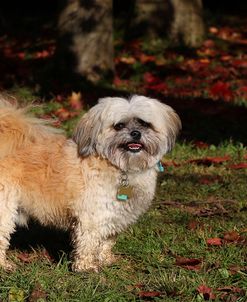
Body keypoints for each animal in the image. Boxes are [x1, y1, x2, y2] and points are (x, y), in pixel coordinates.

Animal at [0, 94, 181, 272]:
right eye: (119, 126)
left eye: (144, 123)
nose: (135, 133)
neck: (119, 166)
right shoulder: (91, 216)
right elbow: (88, 242)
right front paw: (86, 267)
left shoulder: (114, 216)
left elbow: (107, 240)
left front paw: (105, 259)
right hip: (4, 207)